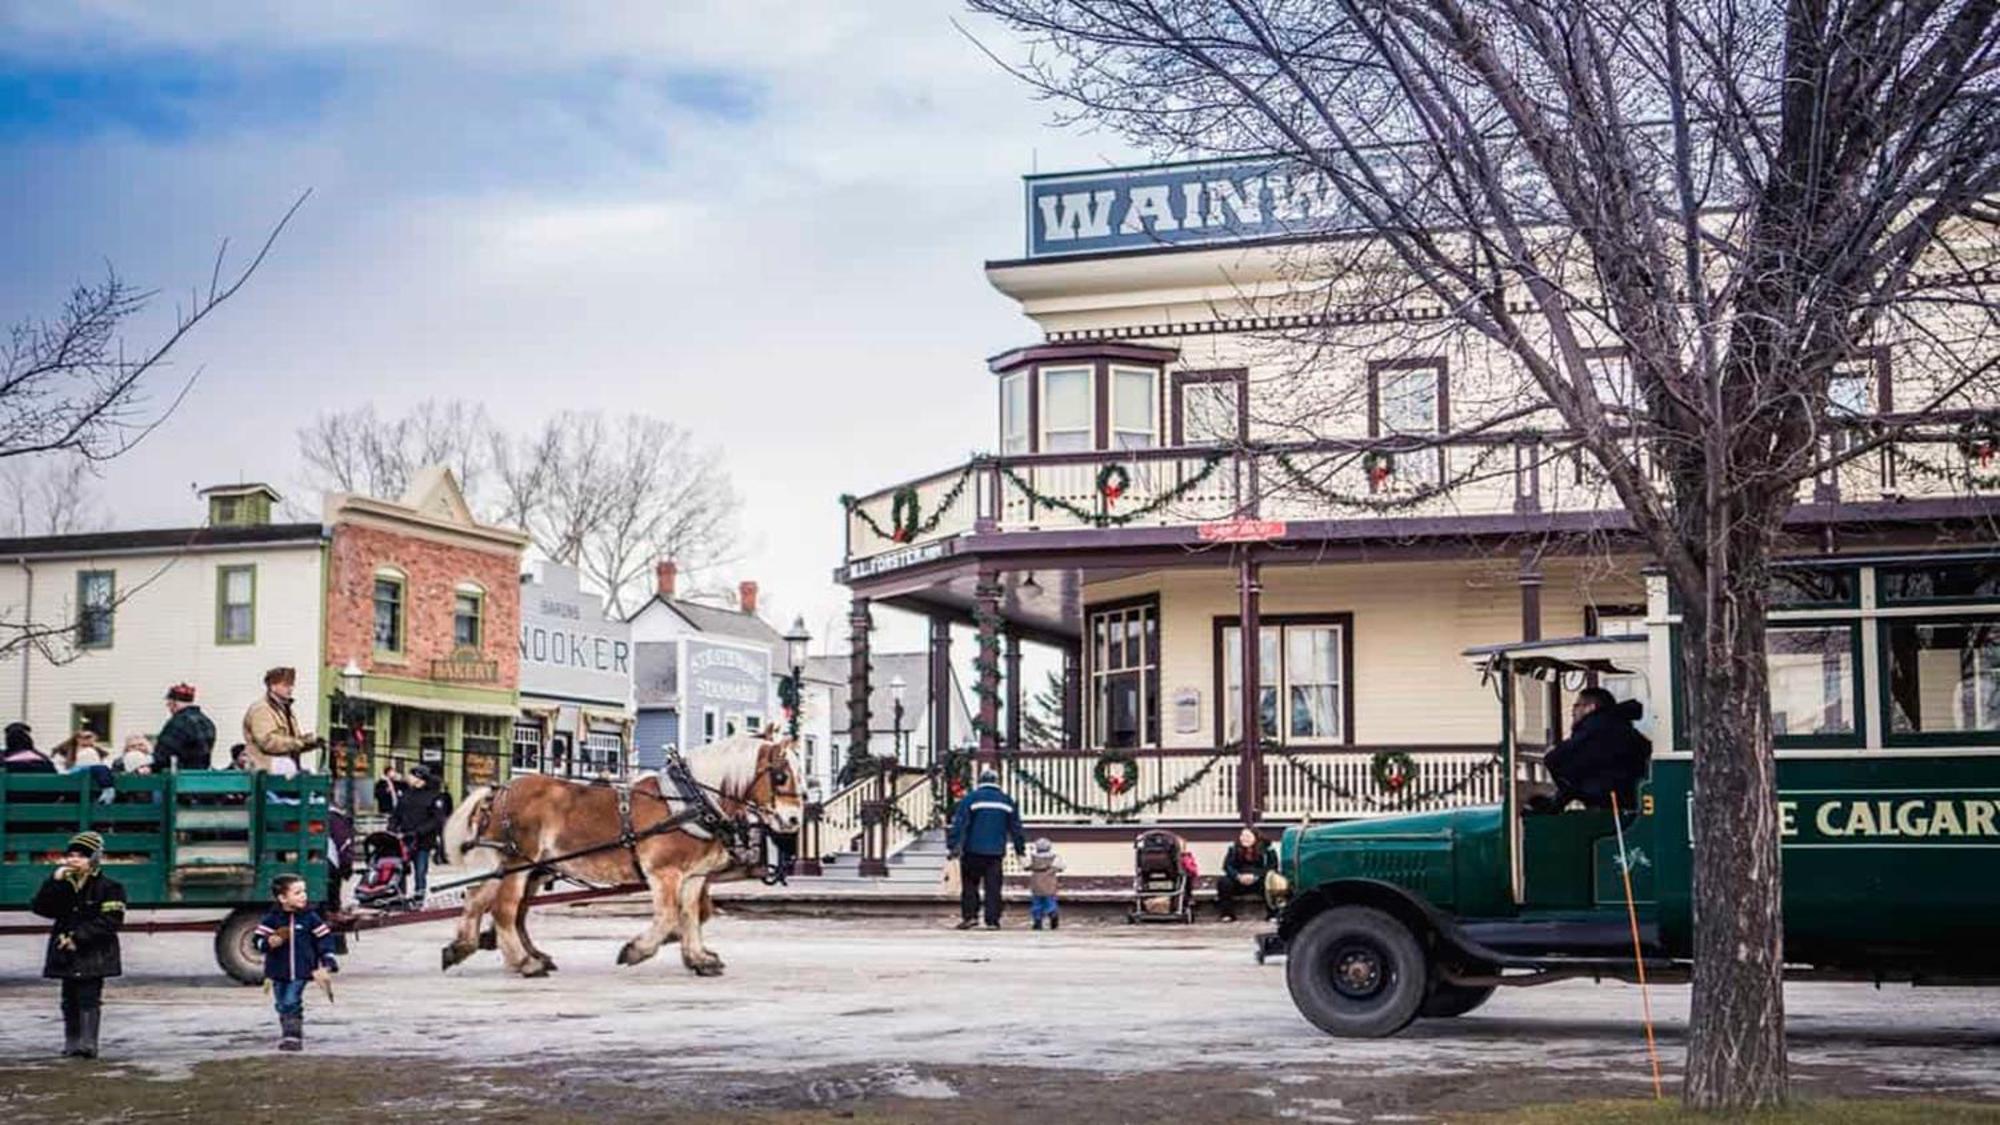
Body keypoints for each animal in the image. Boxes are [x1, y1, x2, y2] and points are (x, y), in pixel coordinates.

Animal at [442, 728, 800, 972]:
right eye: (781, 776)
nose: (795, 819)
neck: (691, 800)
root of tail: (500, 790)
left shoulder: (694, 876)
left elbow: (691, 915)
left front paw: (699, 958)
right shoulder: (664, 873)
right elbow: (669, 916)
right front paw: (637, 950)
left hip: (515, 866)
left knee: (481, 900)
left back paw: (466, 946)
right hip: (518, 863)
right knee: (505, 909)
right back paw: (524, 962)